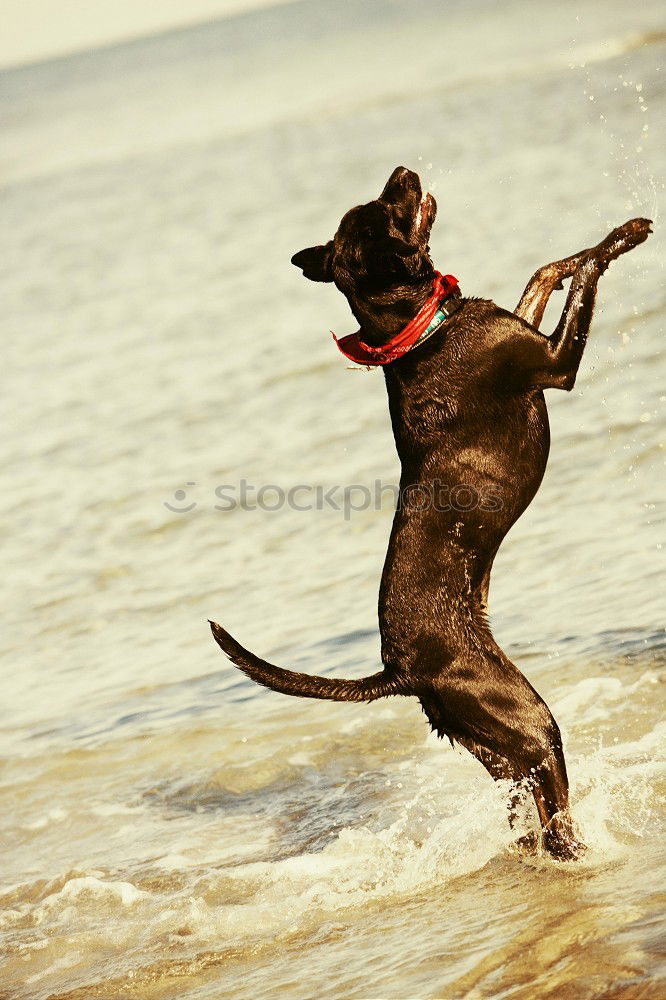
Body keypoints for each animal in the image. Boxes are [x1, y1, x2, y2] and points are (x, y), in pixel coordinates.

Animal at [209, 166, 648, 860]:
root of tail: (401, 669)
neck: (423, 327)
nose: (403, 171)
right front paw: (626, 235)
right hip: (529, 722)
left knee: (528, 816)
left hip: (498, 748)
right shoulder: (556, 363)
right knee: (555, 822)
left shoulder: (526, 326)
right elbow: (585, 276)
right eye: (389, 207)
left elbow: (546, 270)